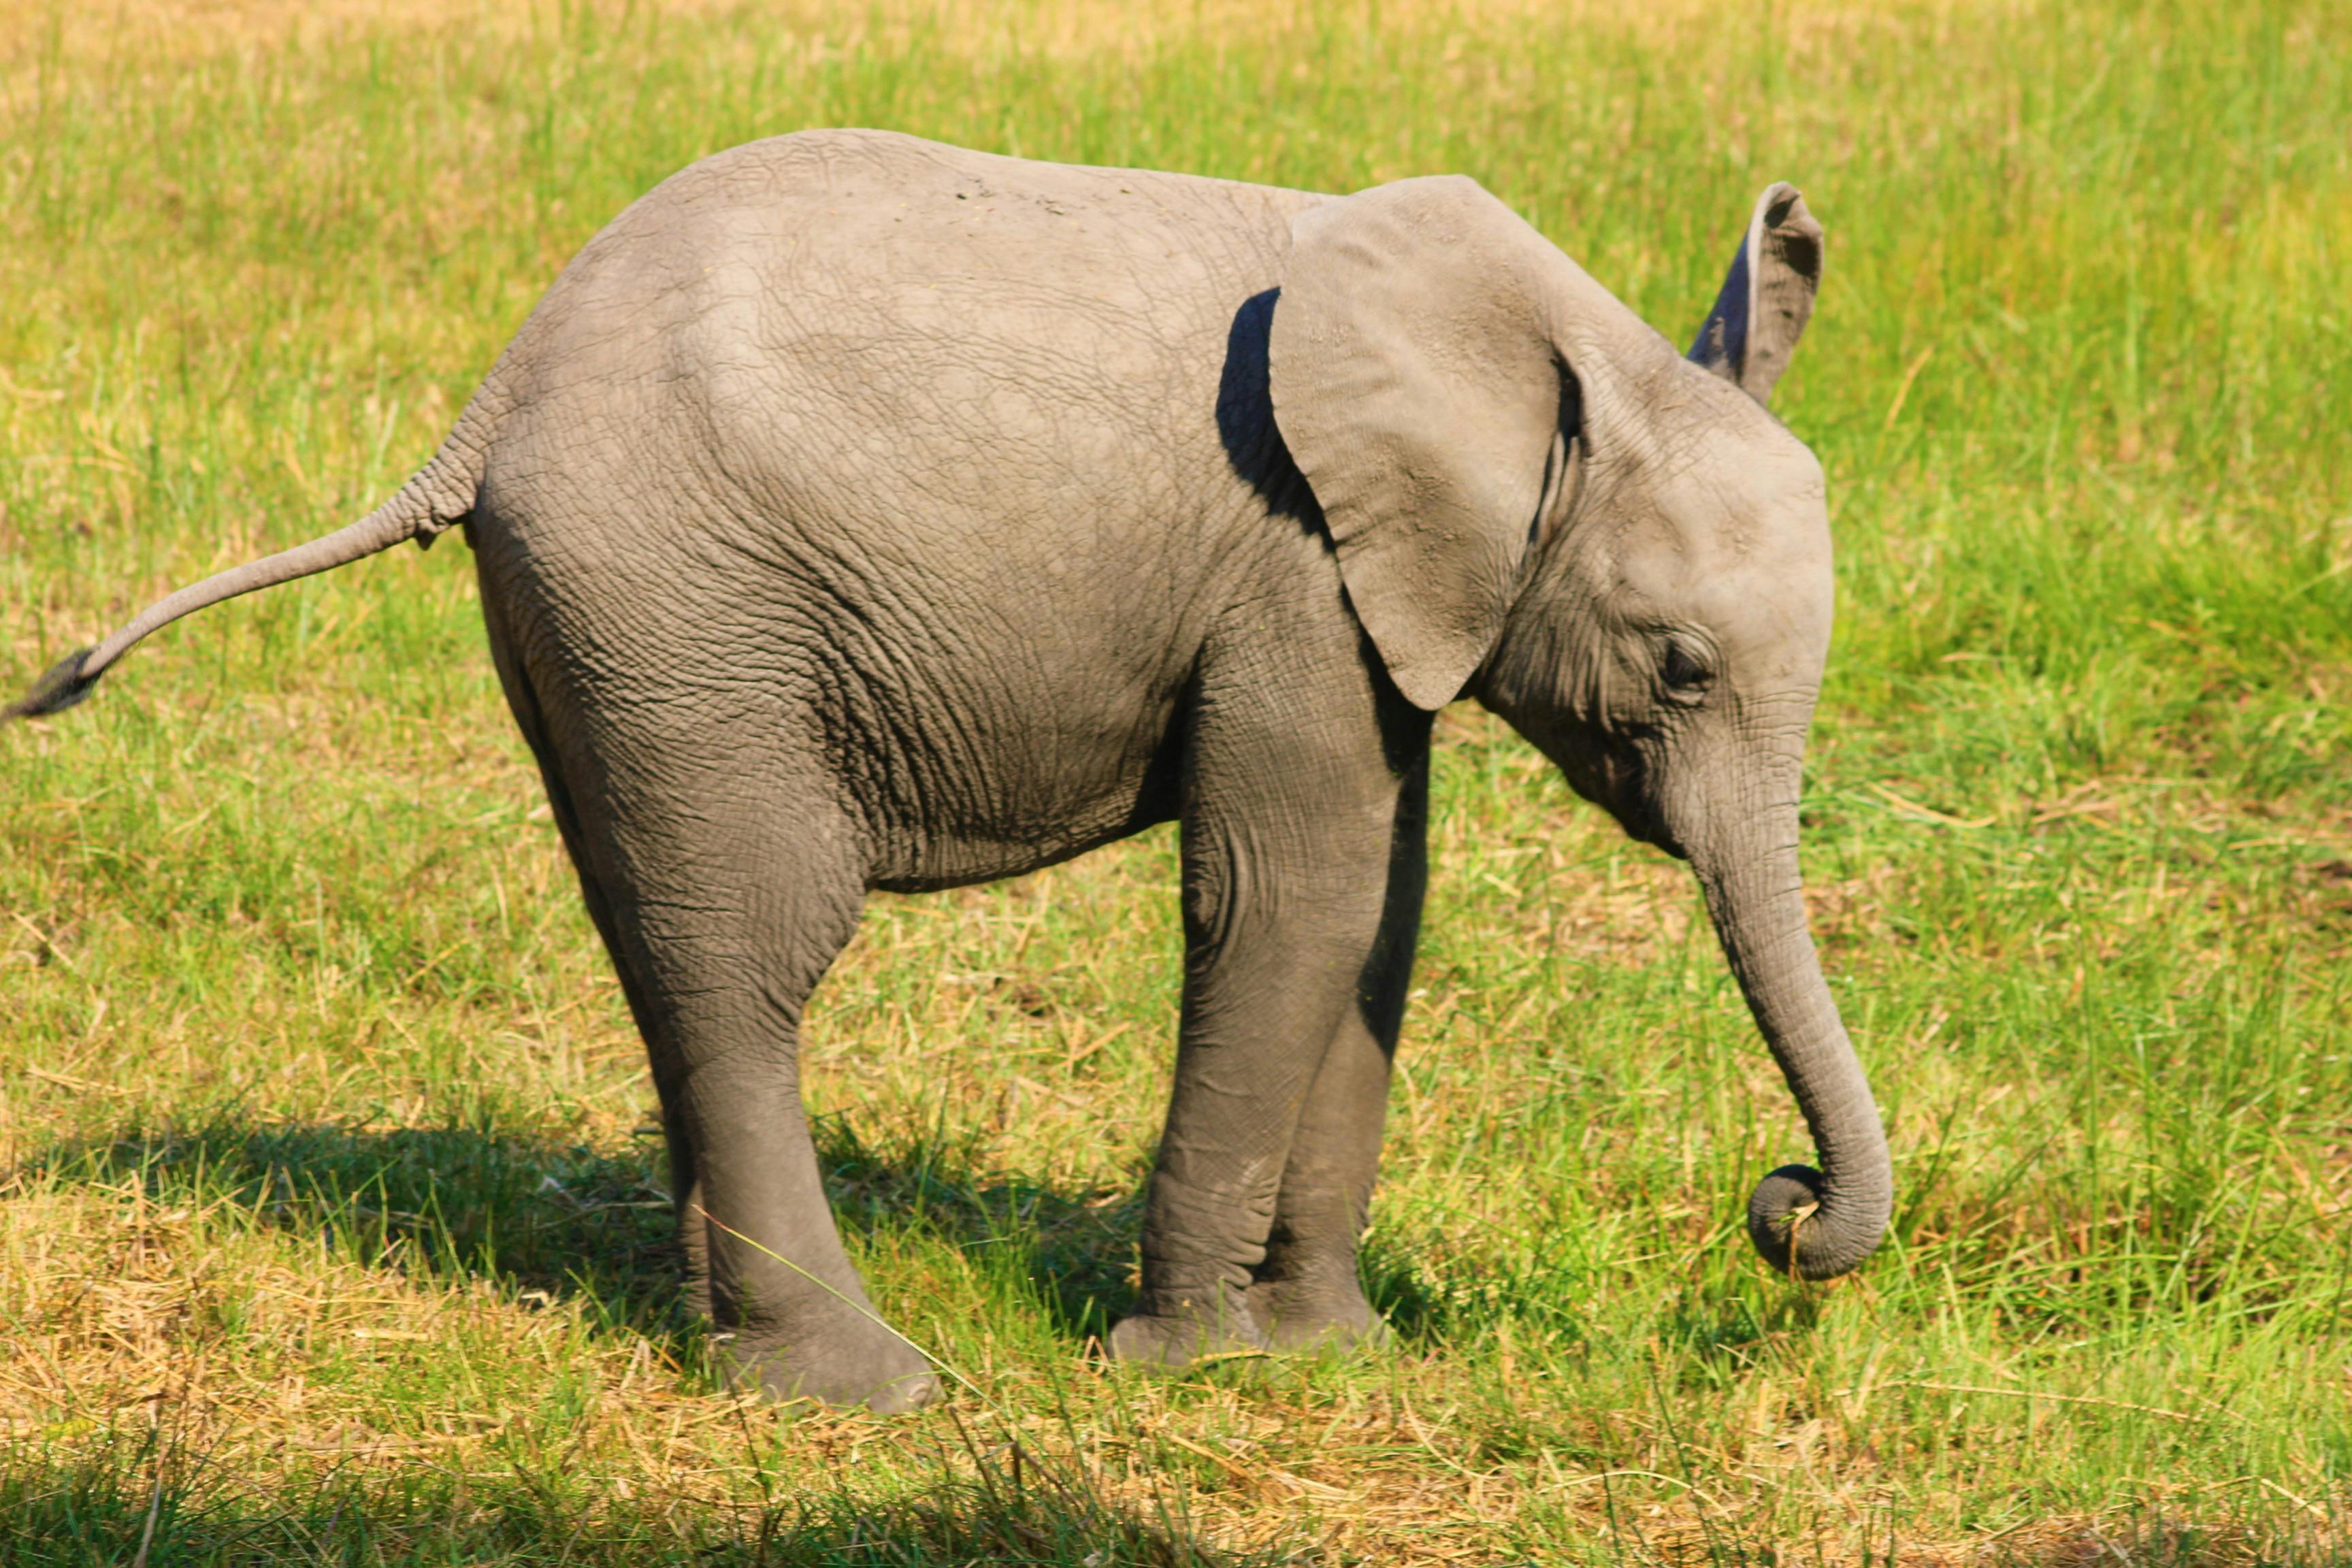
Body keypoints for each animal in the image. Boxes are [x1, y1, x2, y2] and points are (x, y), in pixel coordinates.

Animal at [9, 131, 1891, 1410]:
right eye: (1680, 667)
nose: (1782, 1211)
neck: (1558, 355)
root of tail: (485, 408)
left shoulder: (1381, 609)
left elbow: (1381, 913)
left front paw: (1329, 1355)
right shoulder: (1290, 574)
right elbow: (1286, 899)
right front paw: (1190, 1368)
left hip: (603, 637)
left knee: (657, 943)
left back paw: (731, 1346)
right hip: (684, 609)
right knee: (748, 957)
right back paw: (866, 1389)